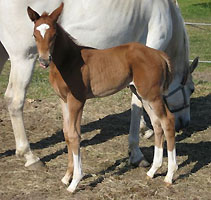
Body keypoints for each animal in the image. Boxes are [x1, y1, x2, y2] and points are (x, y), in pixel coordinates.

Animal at [27, 3, 177, 193]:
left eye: (53, 35)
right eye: (34, 35)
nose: (44, 60)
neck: (69, 61)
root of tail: (159, 54)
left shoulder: (77, 101)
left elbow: (75, 135)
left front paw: (75, 181)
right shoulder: (63, 100)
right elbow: (67, 134)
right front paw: (67, 177)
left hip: (152, 95)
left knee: (167, 121)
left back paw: (170, 175)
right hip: (143, 94)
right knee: (157, 124)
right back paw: (152, 171)